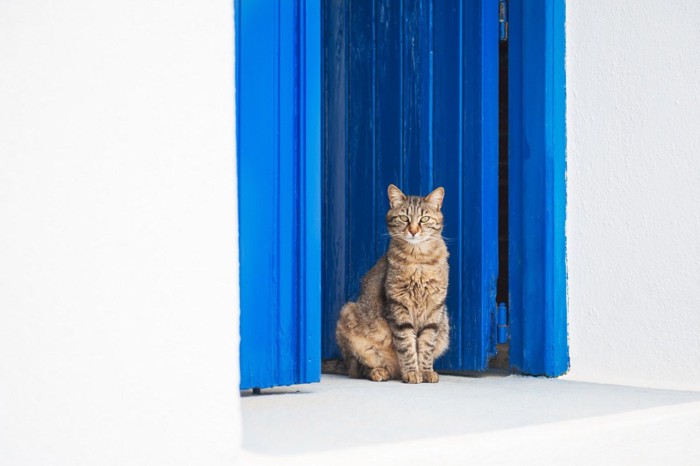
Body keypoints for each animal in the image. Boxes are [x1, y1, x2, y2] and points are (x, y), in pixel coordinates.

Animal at [330, 184, 448, 384]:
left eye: (424, 219)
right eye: (404, 218)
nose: (413, 231)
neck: (419, 260)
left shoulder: (435, 309)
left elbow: (426, 346)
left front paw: (425, 371)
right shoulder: (398, 307)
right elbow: (407, 345)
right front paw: (412, 372)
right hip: (348, 315)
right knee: (357, 368)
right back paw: (379, 372)